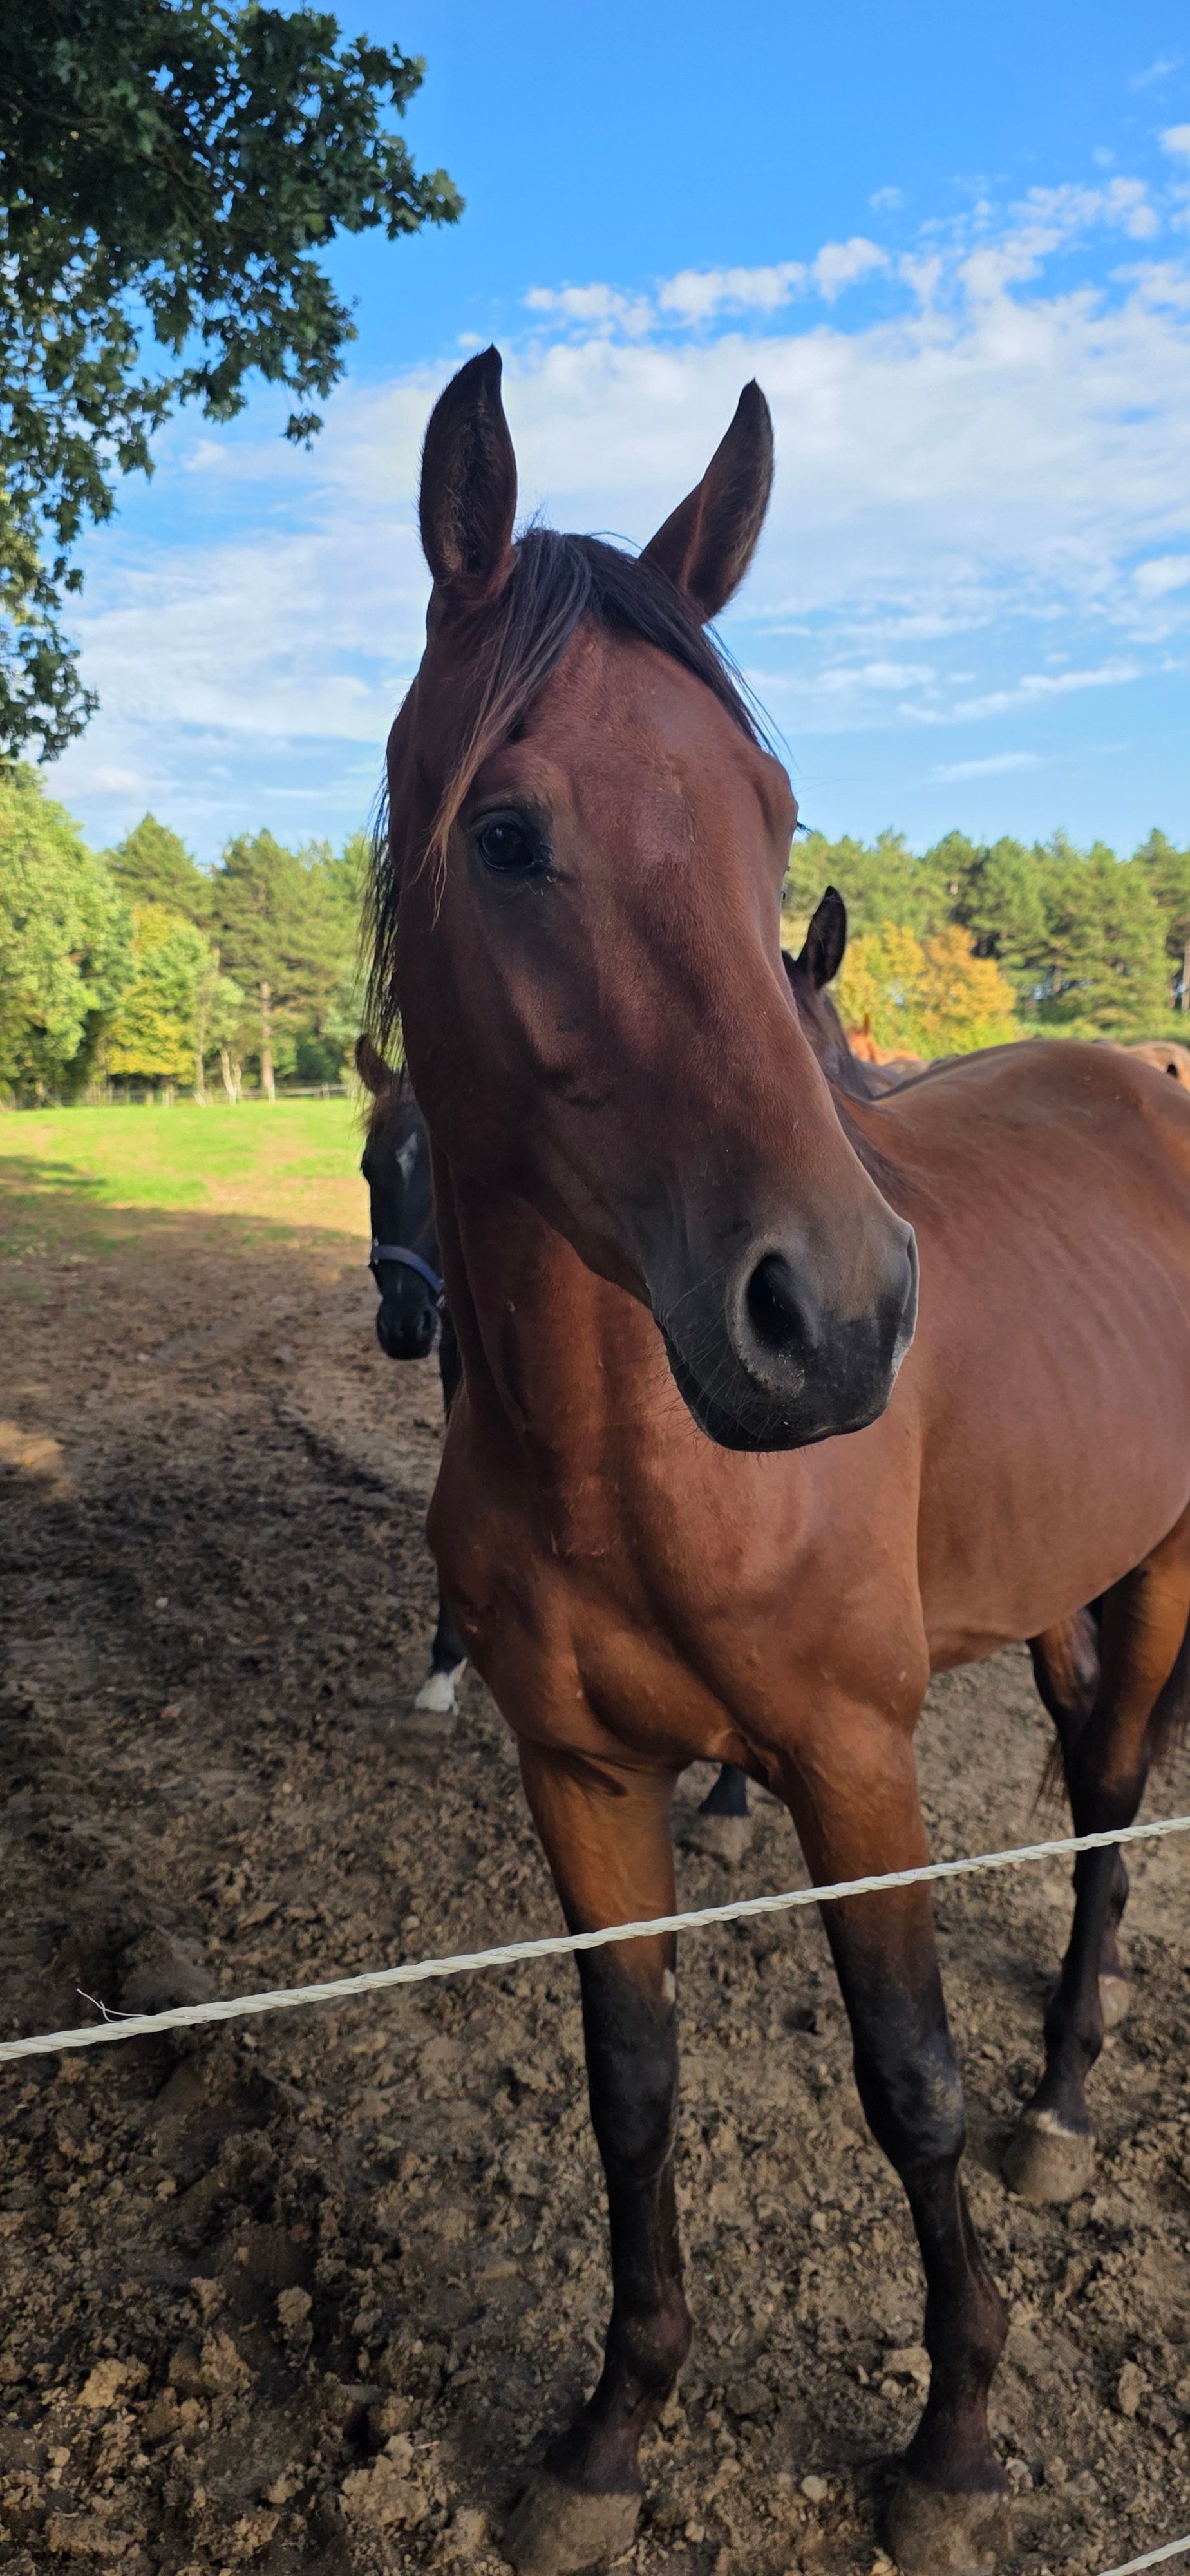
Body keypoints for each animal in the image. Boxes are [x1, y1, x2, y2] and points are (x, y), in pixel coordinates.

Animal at [367, 349, 1190, 2576]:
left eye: (774, 815)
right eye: (506, 831)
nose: (828, 1315)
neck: (633, 1463)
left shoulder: (850, 1755)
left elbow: (906, 2084)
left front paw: (955, 2441)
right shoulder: (582, 1775)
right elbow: (628, 2085)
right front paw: (608, 2431)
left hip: (1167, 1564)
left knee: (1107, 1799)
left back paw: (1065, 2103)